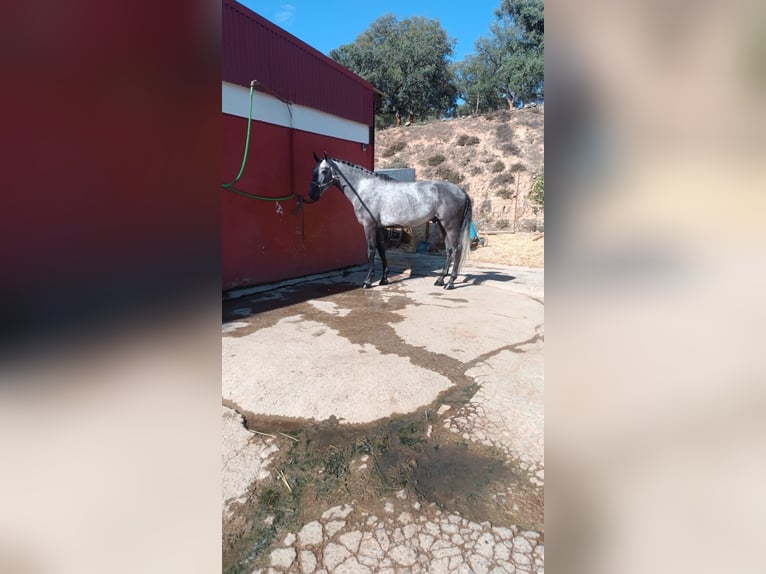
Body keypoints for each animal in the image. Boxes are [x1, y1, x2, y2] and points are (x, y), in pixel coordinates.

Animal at [308, 153, 472, 290]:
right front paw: (384, 279)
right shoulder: (380, 228)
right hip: (443, 226)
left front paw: (368, 282)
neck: (364, 189)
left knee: (457, 250)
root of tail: (462, 191)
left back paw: (450, 283)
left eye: (324, 171)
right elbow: (381, 250)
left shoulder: (369, 227)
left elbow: (371, 251)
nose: (312, 194)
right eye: (314, 170)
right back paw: (440, 280)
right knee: (449, 250)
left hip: (451, 227)